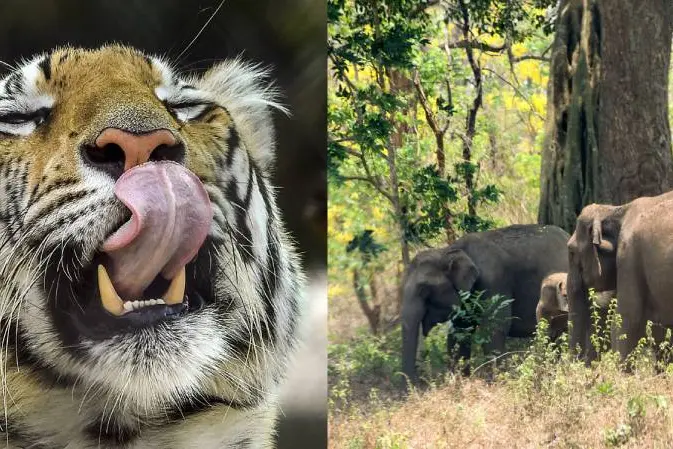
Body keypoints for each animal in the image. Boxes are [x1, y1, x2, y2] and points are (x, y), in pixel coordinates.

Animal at [401, 224, 570, 382]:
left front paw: (496, 382)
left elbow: (495, 328)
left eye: (423, 290)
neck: (449, 250)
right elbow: (459, 333)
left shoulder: (493, 282)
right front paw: (460, 381)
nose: (419, 382)